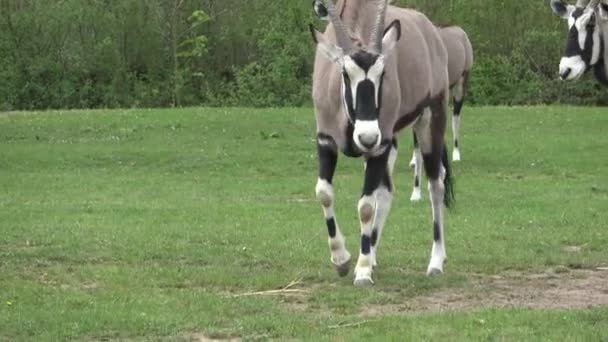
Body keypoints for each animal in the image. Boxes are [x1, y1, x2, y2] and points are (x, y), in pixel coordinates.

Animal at [312, 0, 454, 286]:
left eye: (383, 73)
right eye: (345, 73)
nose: (367, 136)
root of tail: (432, 32)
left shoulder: (380, 144)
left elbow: (366, 206)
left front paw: (363, 270)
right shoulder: (327, 140)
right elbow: (324, 192)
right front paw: (342, 260)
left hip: (429, 122)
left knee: (436, 185)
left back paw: (436, 261)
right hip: (387, 144)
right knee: (386, 191)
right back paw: (372, 253)